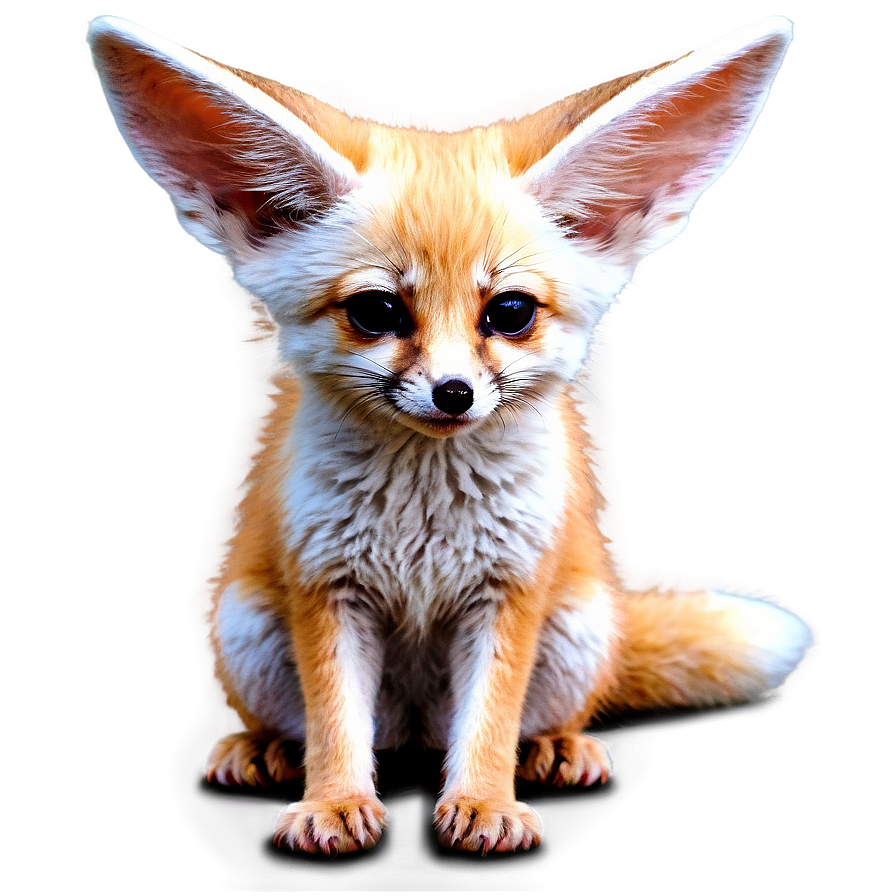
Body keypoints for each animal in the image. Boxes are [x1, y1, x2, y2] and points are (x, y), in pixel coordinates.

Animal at [88, 15, 815, 856]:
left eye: (509, 312)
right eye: (376, 311)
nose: (454, 392)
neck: (423, 525)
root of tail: (412, 732)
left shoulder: (508, 591)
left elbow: (491, 724)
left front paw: (485, 804)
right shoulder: (327, 587)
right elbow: (335, 724)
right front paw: (334, 802)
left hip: (578, 629)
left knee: (527, 719)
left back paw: (557, 745)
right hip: (246, 629)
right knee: (313, 725)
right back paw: (264, 748)